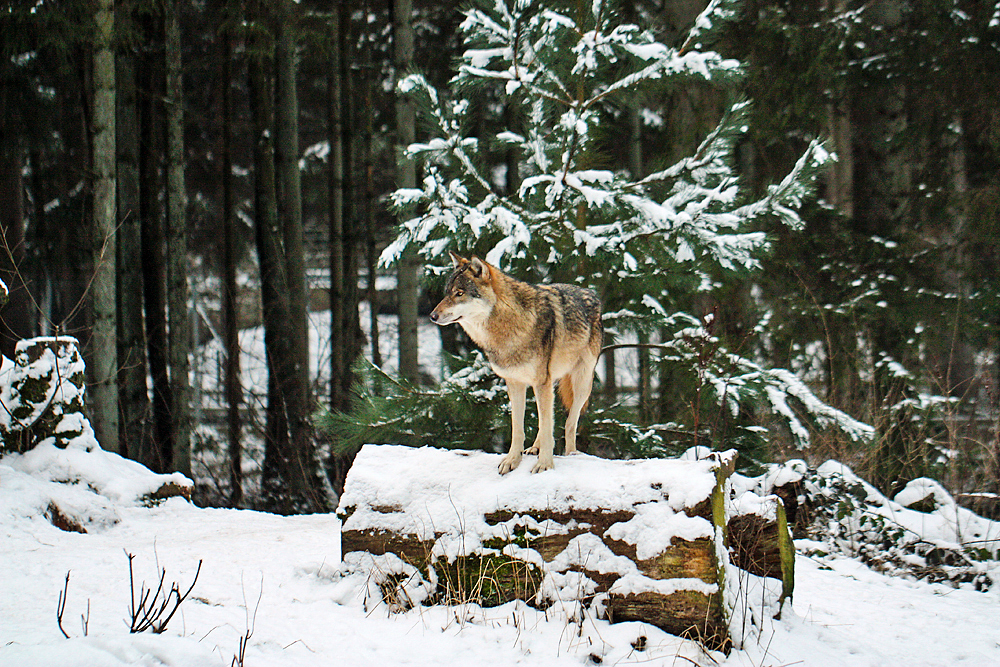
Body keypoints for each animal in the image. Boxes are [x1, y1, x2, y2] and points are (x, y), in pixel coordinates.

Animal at [430, 252, 600, 474]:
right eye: (447, 293)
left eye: (459, 293)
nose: (432, 316)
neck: (509, 323)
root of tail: (590, 291)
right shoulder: (514, 383)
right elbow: (518, 428)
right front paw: (512, 460)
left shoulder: (540, 382)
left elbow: (548, 427)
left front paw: (545, 464)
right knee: (546, 421)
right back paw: (534, 448)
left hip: (581, 384)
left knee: (570, 422)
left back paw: (570, 453)